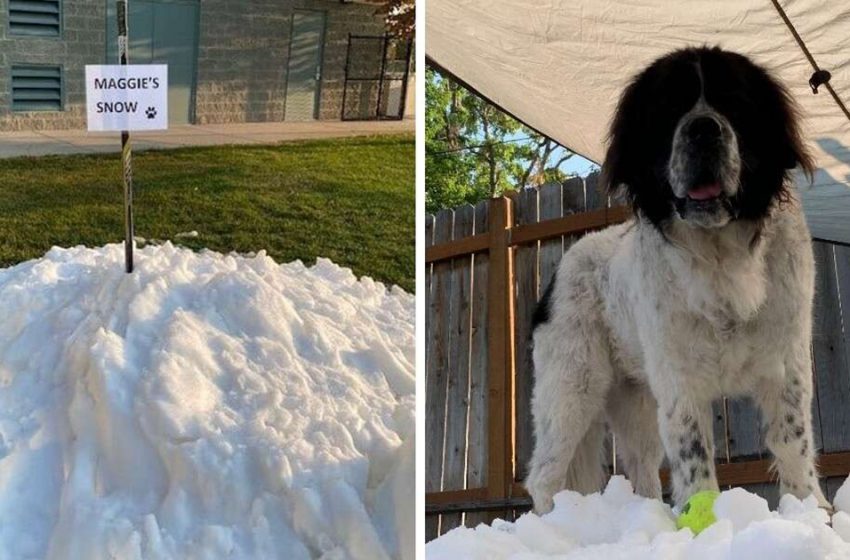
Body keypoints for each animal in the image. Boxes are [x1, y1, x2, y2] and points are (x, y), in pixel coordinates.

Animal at [528, 47, 824, 512]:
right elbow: (693, 456)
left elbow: (793, 444)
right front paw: (703, 517)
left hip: (634, 402)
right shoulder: (680, 380)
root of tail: (561, 267)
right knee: (544, 476)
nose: (703, 129)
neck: (720, 256)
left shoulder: (785, 366)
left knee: (642, 467)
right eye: (668, 109)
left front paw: (807, 514)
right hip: (572, 389)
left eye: (734, 103)